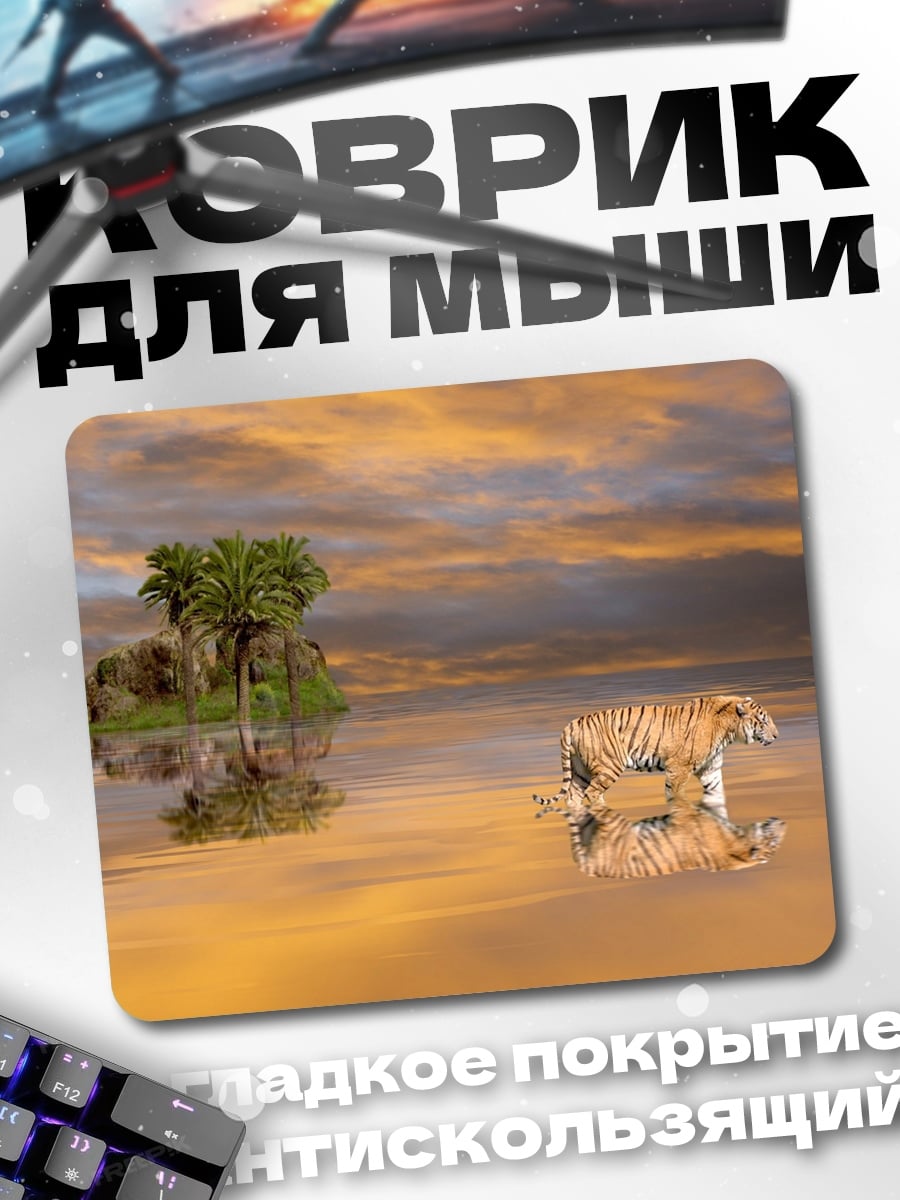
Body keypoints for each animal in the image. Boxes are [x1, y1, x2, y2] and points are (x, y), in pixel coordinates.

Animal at [533, 695, 778, 821]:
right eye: (764, 721)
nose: (777, 735)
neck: (728, 731)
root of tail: (571, 724)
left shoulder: (711, 770)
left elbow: (716, 794)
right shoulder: (679, 769)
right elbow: (675, 795)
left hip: (580, 771)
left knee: (573, 795)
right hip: (608, 767)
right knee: (593, 793)